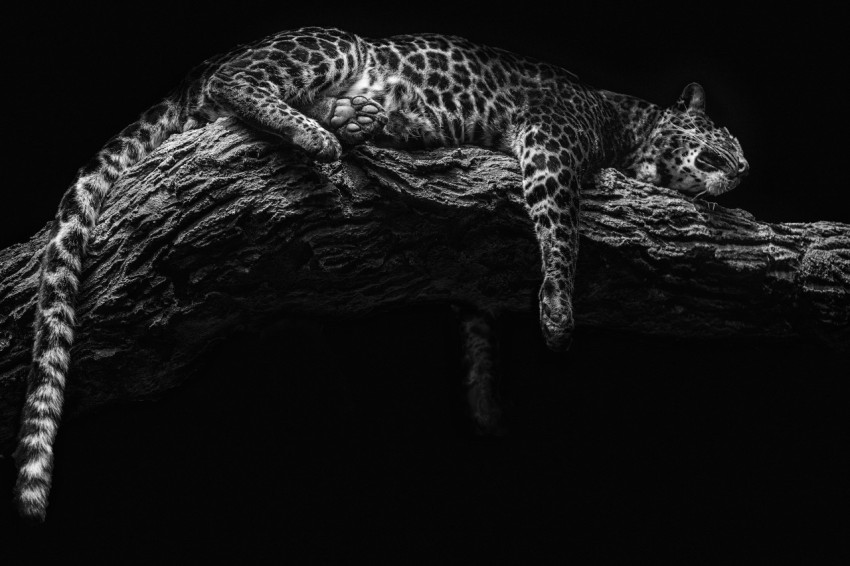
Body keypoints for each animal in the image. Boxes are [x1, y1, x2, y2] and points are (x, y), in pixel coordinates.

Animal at [12, 26, 748, 522]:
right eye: (725, 143)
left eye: (742, 164)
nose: (741, 174)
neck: (634, 127)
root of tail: (200, 67)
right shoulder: (552, 141)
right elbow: (559, 224)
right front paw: (560, 312)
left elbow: (476, 320)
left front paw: (485, 402)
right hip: (331, 46)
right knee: (241, 85)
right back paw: (323, 130)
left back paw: (362, 116)